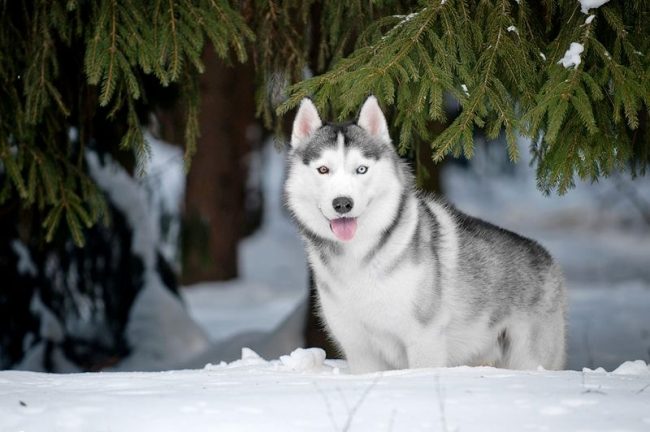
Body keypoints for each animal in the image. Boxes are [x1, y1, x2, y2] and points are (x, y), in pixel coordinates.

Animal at [284, 96, 560, 372]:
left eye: (361, 169)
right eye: (323, 170)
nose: (343, 203)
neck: (359, 257)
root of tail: (547, 257)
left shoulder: (424, 338)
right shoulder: (359, 348)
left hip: (527, 357)